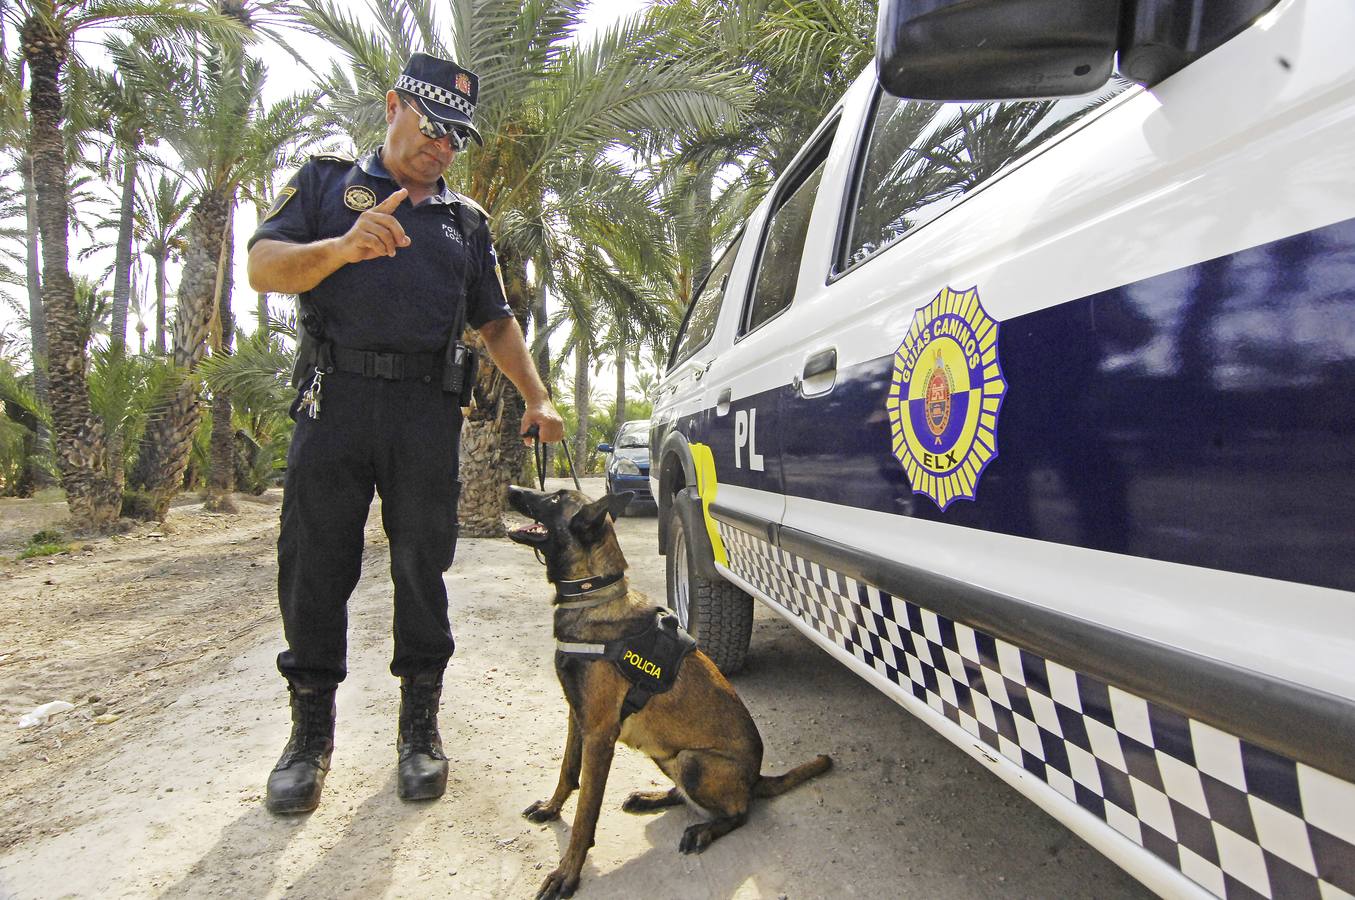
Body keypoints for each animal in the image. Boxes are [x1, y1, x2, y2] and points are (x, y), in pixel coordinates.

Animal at [504, 485, 829, 900]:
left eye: (555, 498)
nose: (511, 489)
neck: (593, 598)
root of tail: (755, 778)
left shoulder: (599, 735)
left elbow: (585, 815)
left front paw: (567, 873)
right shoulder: (577, 717)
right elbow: (566, 772)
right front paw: (551, 807)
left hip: (693, 761)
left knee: (738, 812)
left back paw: (703, 830)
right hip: (665, 753)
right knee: (686, 793)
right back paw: (653, 797)